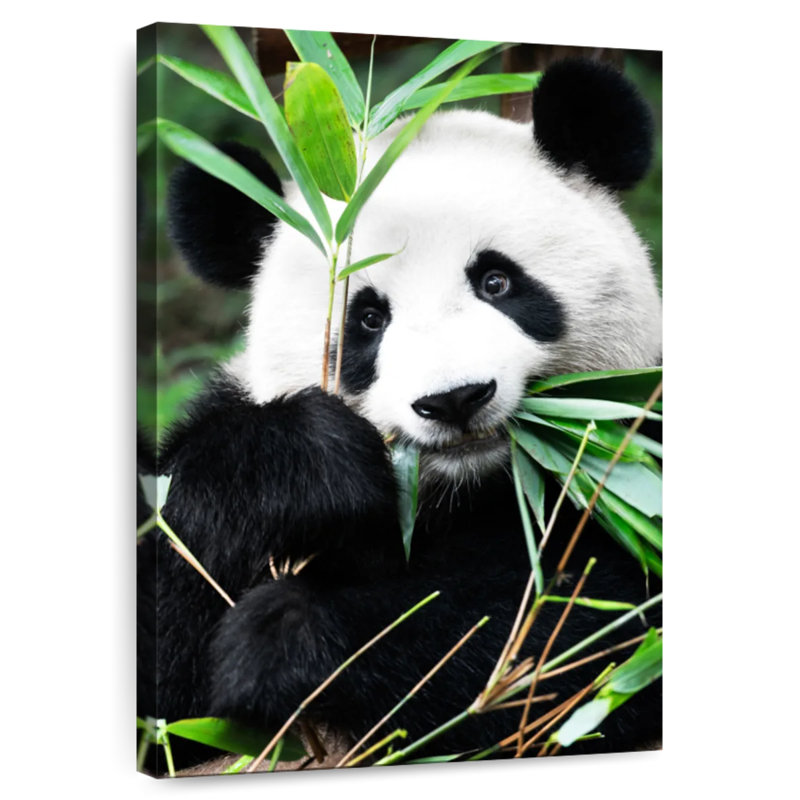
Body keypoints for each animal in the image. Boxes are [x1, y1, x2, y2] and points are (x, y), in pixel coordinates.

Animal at [138, 58, 662, 772]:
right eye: (368, 318)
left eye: (497, 282)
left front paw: (285, 637)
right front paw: (309, 464)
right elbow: (164, 643)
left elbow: (579, 628)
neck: (461, 493)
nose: (455, 398)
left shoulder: (634, 454)